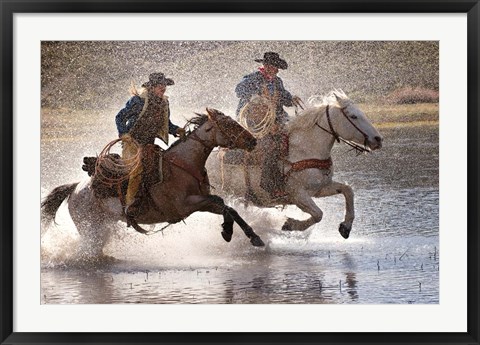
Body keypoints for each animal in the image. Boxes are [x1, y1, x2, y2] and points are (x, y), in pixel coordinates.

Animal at [210, 90, 382, 238]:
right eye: (353, 116)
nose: (378, 139)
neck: (305, 149)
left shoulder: (320, 188)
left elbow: (348, 191)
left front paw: (346, 227)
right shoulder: (298, 194)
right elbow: (318, 214)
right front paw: (290, 224)